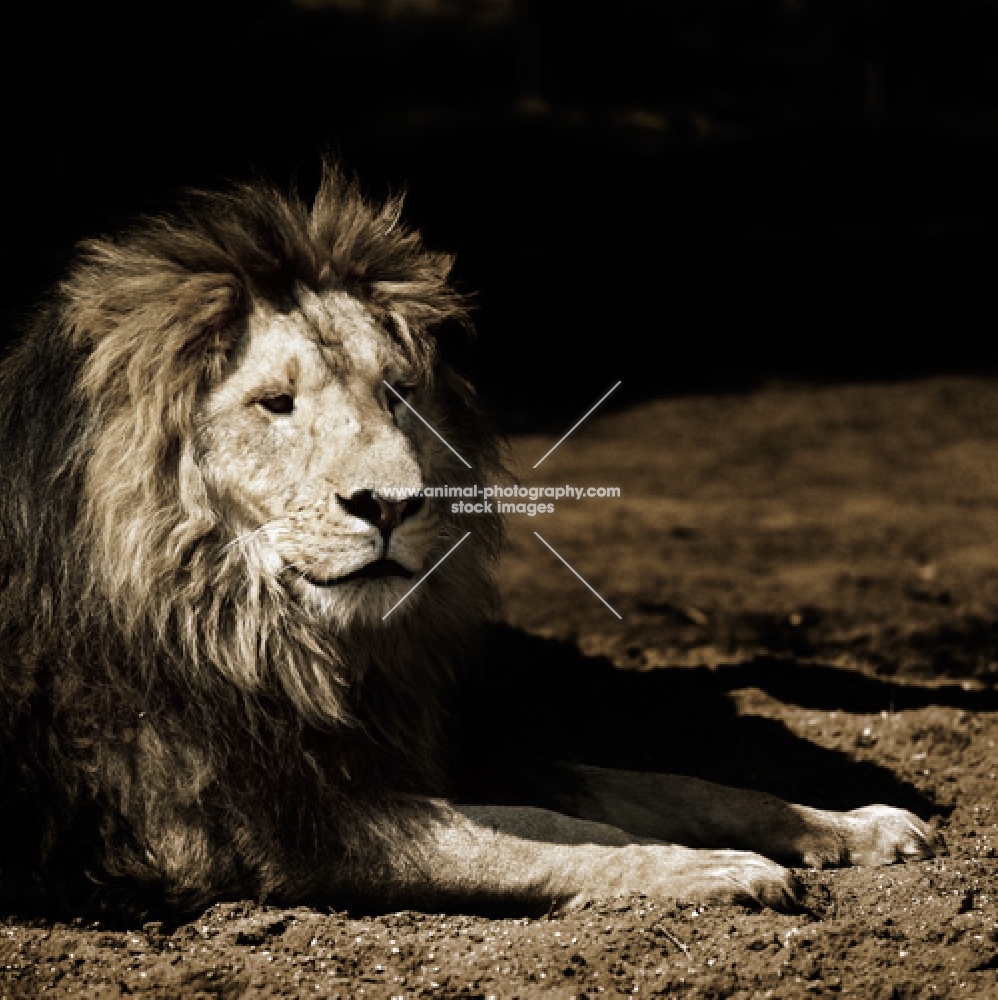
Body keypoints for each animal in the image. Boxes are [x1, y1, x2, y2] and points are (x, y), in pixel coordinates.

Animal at [0, 162, 936, 920]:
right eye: (274, 404)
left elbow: (667, 783)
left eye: (399, 391)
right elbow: (530, 834)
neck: (265, 624)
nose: (390, 505)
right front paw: (706, 872)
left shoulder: (430, 741)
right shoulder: (266, 821)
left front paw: (858, 825)